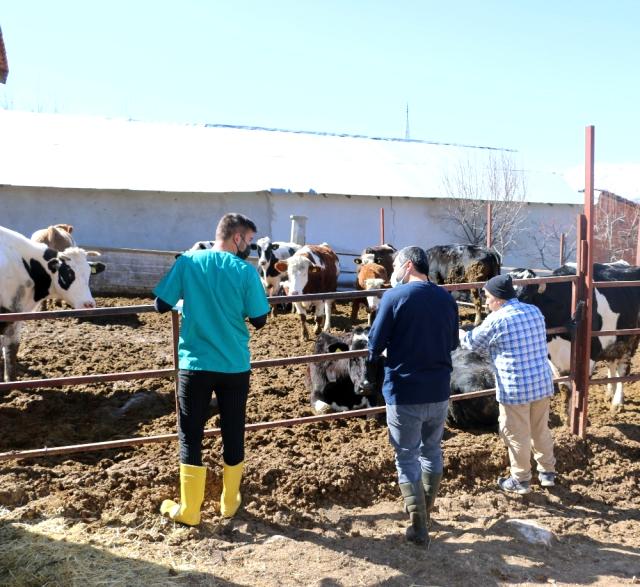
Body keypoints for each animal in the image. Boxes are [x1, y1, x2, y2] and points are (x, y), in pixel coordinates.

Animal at [510, 264, 640, 416]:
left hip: (630, 339)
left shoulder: (590, 354)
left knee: (622, 370)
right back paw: (609, 393)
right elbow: (565, 388)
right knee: (612, 363)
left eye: (524, 296)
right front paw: (567, 416)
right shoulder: (553, 358)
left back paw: (617, 402)